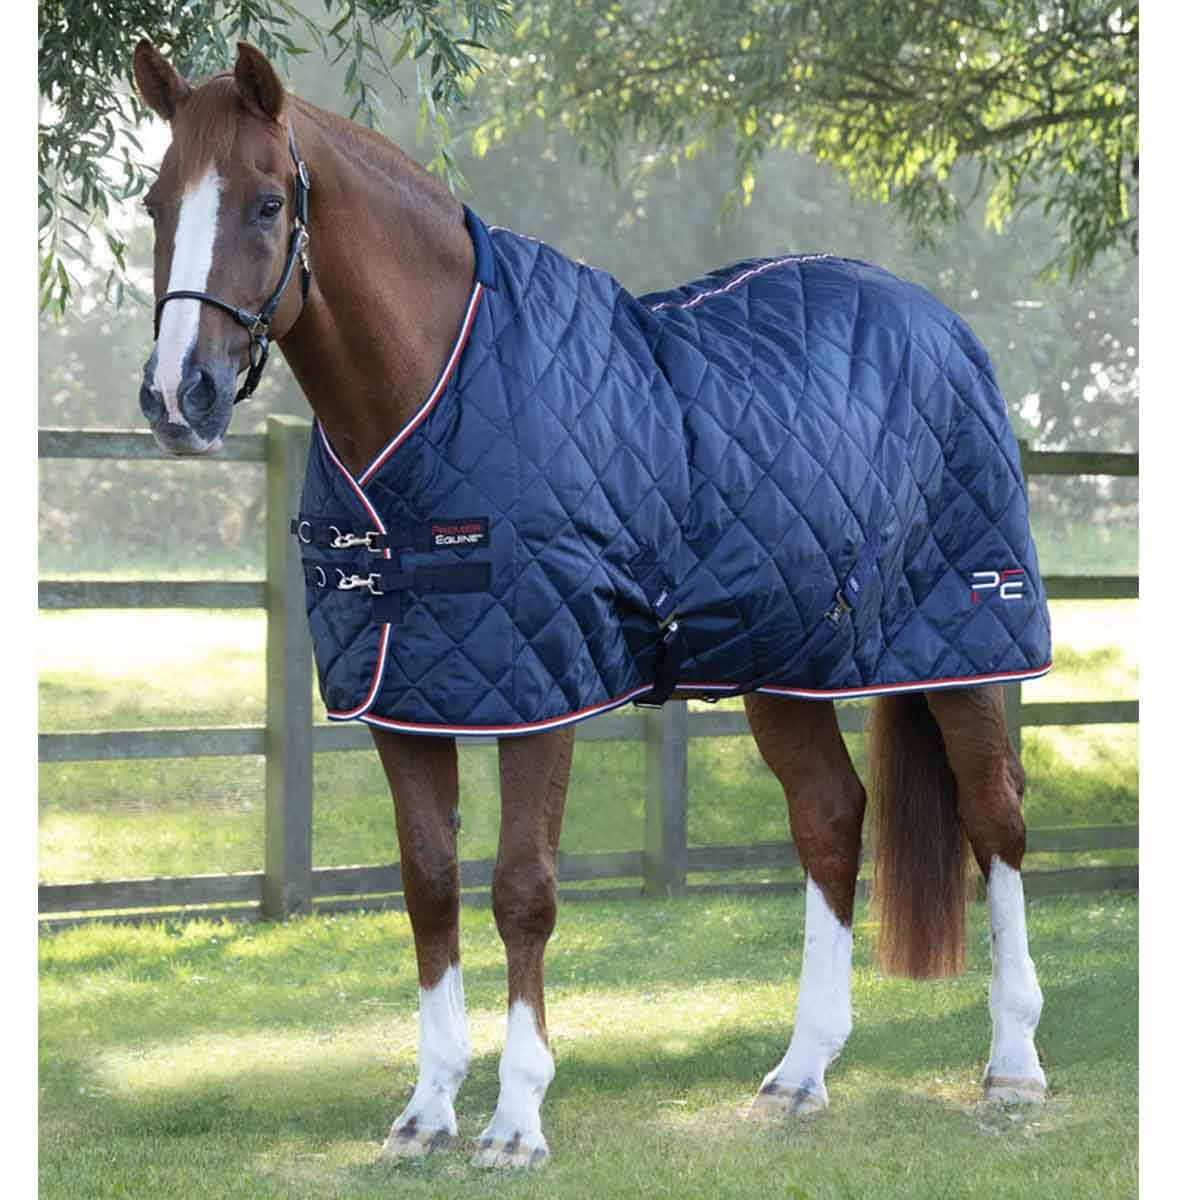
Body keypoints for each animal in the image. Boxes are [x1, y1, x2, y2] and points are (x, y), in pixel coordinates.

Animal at [131, 40, 1049, 1169]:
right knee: (832, 819)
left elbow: (522, 890)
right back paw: (800, 1074)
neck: (439, 389)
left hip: (968, 638)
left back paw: (1013, 1068)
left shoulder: (545, 690)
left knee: (994, 815)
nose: (179, 397)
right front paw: (425, 1113)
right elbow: (428, 885)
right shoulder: (406, 701)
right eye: (156, 201)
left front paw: (516, 1121)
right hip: (780, 662)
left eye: (267, 203)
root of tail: (943, 324)